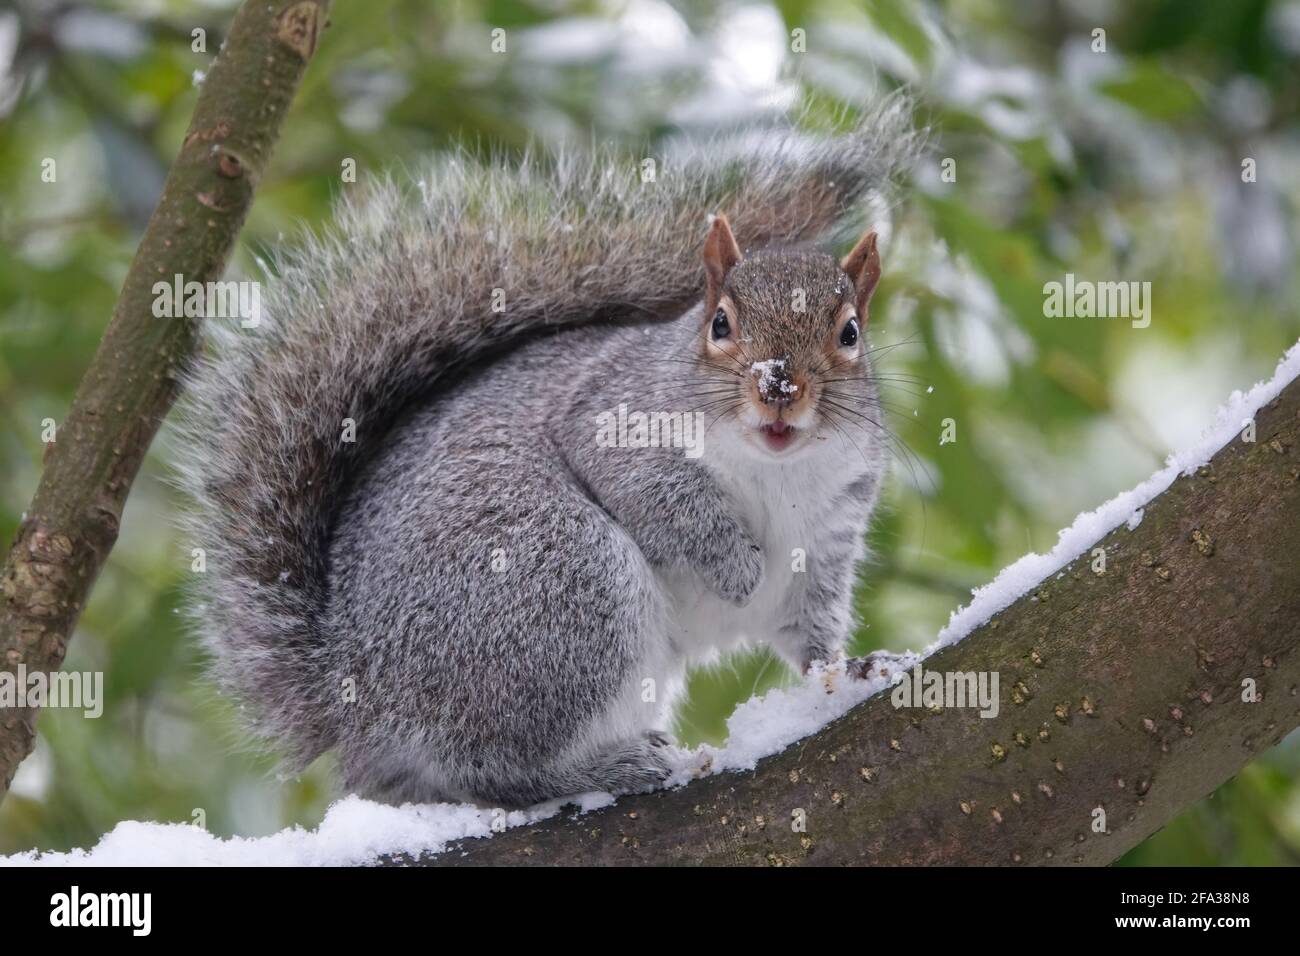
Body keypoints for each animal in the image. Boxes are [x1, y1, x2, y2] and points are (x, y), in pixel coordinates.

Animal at [178, 102, 920, 806]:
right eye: (720, 325)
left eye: (850, 333)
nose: (778, 389)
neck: (776, 472)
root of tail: (354, 697)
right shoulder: (611, 426)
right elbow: (668, 502)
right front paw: (736, 566)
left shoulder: (829, 536)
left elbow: (811, 632)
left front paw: (853, 671)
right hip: (560, 581)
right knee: (490, 766)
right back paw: (608, 766)